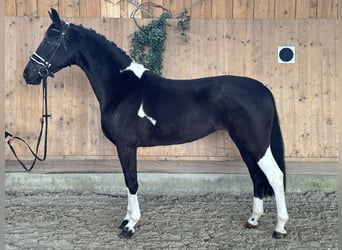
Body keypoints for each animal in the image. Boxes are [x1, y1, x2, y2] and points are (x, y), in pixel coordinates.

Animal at [22, 8, 288, 239]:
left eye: (48, 43)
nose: (28, 75)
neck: (123, 88)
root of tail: (263, 89)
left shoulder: (126, 146)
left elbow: (131, 182)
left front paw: (130, 225)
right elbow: (128, 181)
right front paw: (126, 220)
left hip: (255, 143)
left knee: (275, 175)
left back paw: (280, 227)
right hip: (242, 142)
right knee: (256, 175)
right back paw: (253, 219)